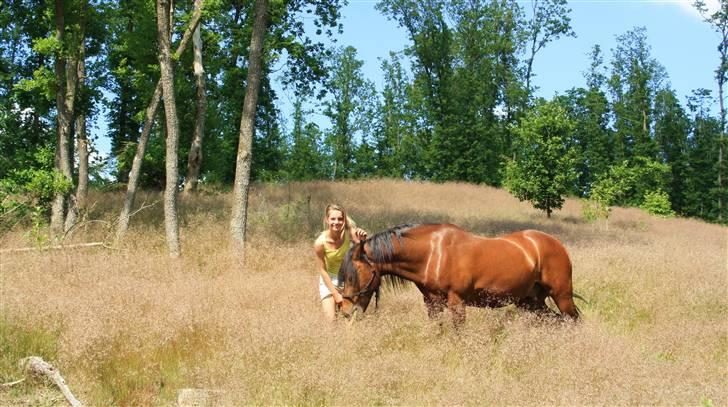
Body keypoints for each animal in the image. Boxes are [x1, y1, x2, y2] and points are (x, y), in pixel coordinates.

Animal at [338, 225, 584, 326]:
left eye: (353, 276)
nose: (346, 311)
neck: (433, 253)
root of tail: (556, 244)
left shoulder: (457, 303)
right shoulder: (432, 304)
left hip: (562, 295)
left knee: (573, 320)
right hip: (531, 301)